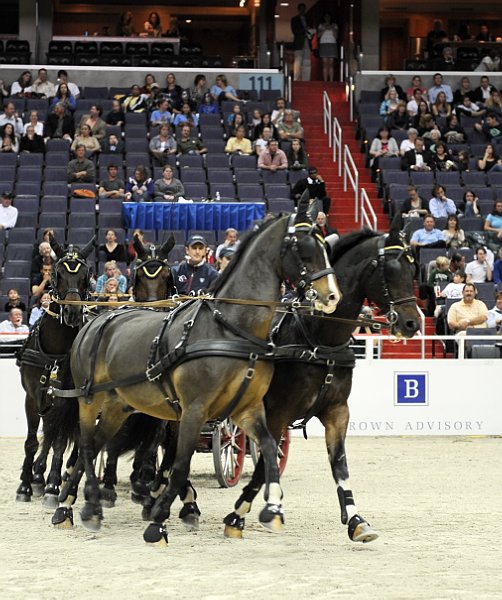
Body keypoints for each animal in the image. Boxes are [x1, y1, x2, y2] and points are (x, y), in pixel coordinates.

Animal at [15, 239, 94, 507]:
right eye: (57, 274)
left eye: (86, 275)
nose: (72, 312)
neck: (56, 353)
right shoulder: (32, 396)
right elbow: (32, 441)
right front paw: (26, 486)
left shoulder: (66, 400)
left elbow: (60, 442)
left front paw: (52, 486)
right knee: (49, 434)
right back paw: (39, 476)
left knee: (74, 440)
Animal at [52, 205, 341, 545]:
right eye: (304, 249)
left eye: (326, 248)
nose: (332, 296)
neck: (228, 329)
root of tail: (94, 322)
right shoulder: (193, 410)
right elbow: (178, 465)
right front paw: (159, 521)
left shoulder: (245, 410)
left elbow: (269, 449)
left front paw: (271, 509)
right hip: (90, 401)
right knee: (85, 447)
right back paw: (74, 506)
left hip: (117, 406)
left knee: (96, 445)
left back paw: (83, 507)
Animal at [223, 228, 421, 542]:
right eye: (389, 271)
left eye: (413, 270)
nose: (413, 323)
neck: (317, 339)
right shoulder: (277, 413)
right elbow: (266, 462)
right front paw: (238, 516)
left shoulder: (337, 411)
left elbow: (339, 464)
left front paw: (356, 520)